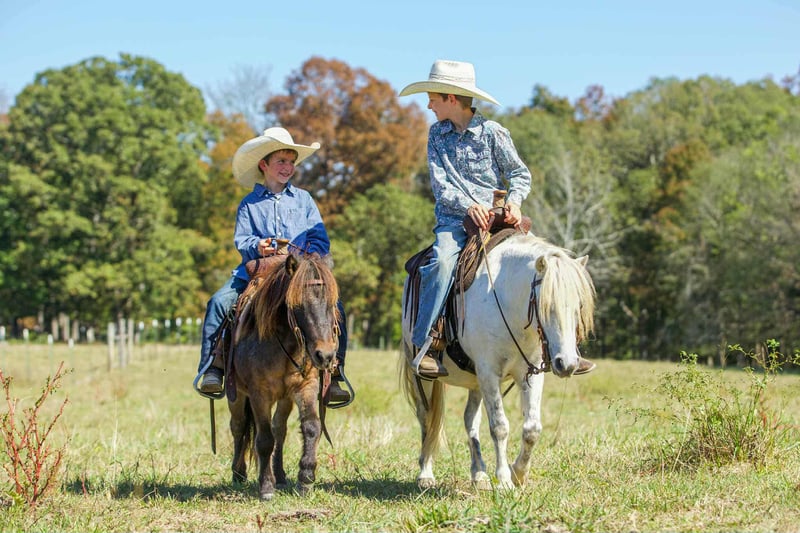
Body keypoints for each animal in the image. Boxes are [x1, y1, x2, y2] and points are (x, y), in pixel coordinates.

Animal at [228, 252, 341, 500]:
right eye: (297, 304)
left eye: (332, 303)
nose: (325, 355)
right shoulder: (259, 394)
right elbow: (263, 439)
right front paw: (266, 488)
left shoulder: (305, 387)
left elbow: (311, 427)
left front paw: (305, 479)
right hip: (237, 395)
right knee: (239, 426)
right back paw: (239, 473)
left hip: (285, 398)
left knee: (279, 429)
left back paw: (279, 476)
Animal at [401, 232, 595, 490]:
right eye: (547, 307)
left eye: (579, 307)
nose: (567, 364)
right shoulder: (489, 372)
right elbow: (500, 427)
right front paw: (503, 480)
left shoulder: (529, 374)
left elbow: (532, 428)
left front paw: (518, 474)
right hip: (422, 376)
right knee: (427, 417)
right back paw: (426, 473)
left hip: (475, 382)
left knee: (470, 420)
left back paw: (479, 474)